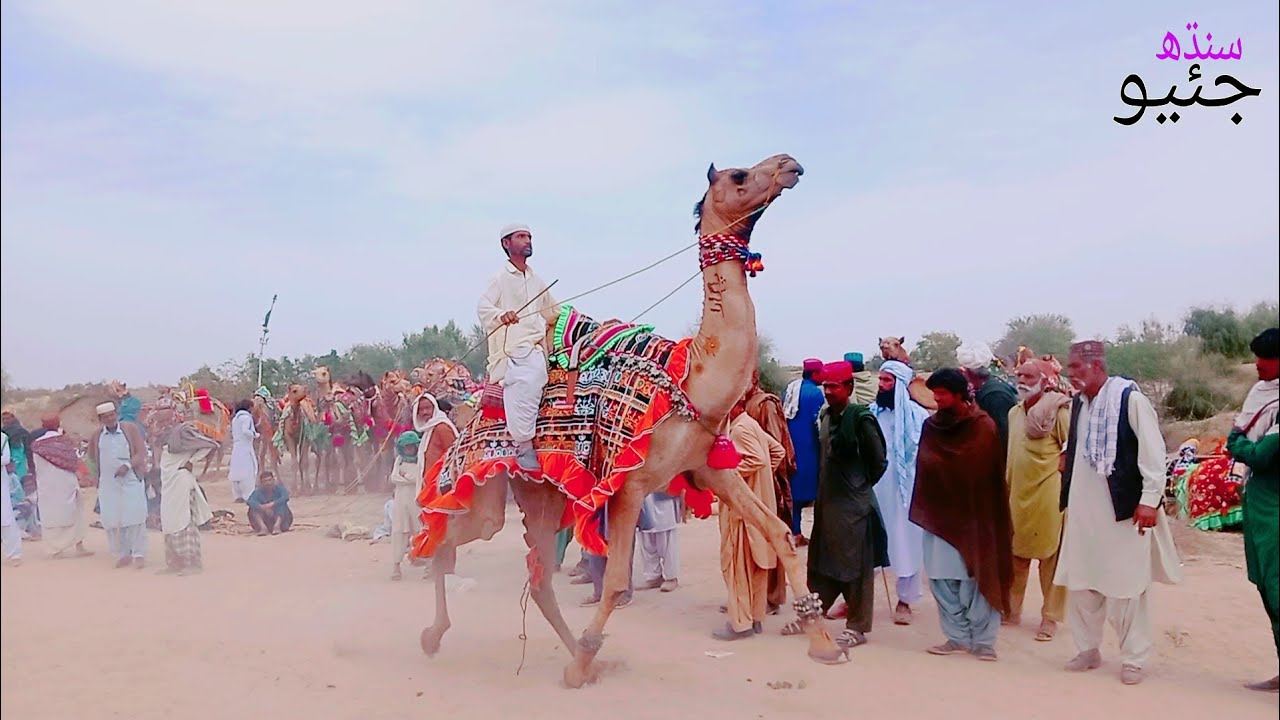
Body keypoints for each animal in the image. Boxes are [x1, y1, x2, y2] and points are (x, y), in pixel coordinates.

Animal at [416, 153, 844, 686]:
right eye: (740, 176)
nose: (789, 164)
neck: (690, 379)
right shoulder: (629, 484)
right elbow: (617, 581)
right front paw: (582, 661)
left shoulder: (710, 468)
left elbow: (780, 534)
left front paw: (824, 644)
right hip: (489, 482)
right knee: (453, 539)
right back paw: (439, 635)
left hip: (543, 496)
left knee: (538, 575)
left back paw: (575, 654)